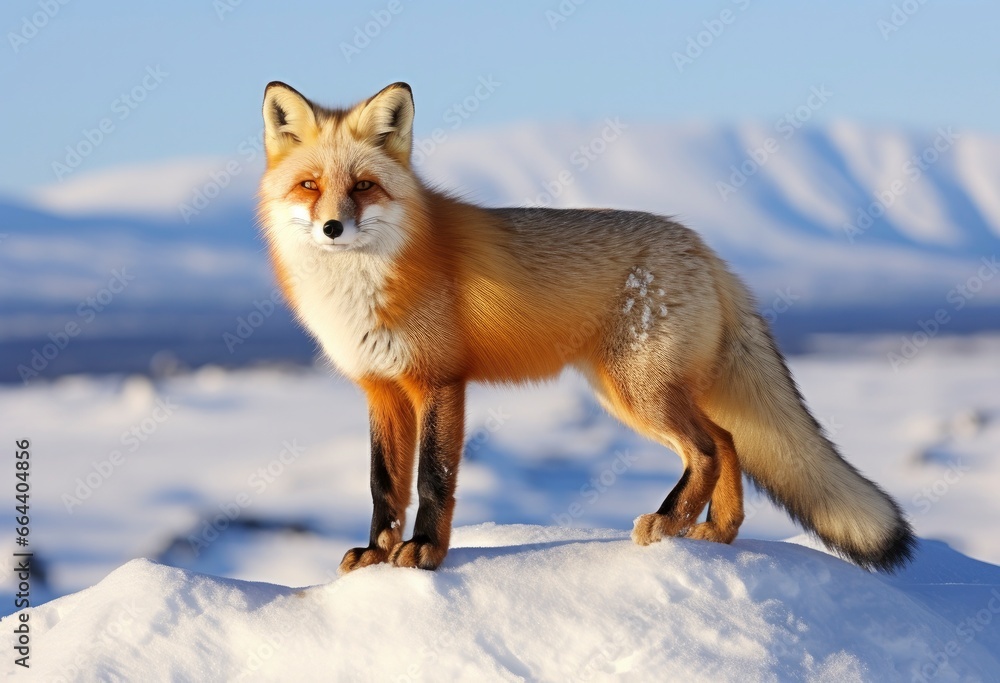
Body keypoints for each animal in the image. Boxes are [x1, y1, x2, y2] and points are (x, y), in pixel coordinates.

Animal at [257, 81, 916, 575]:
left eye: (364, 186)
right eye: (310, 185)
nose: (333, 228)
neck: (366, 288)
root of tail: (705, 249)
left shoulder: (439, 380)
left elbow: (434, 479)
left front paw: (424, 552)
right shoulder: (382, 390)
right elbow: (384, 484)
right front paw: (377, 552)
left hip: (639, 392)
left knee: (709, 447)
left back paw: (669, 522)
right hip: (632, 393)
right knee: (729, 440)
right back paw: (715, 535)